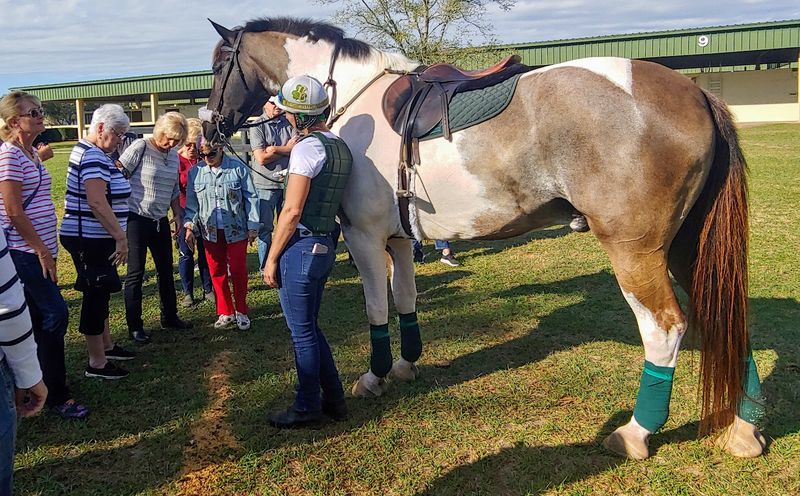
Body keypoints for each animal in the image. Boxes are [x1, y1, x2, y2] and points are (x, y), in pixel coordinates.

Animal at [201, 17, 766, 460]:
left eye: (220, 64)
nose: (209, 132)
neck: (354, 106)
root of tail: (696, 92)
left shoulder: (364, 238)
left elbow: (377, 309)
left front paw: (376, 376)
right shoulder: (400, 239)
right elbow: (405, 300)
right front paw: (406, 365)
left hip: (637, 252)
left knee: (665, 329)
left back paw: (637, 431)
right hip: (688, 247)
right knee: (723, 314)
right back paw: (744, 428)